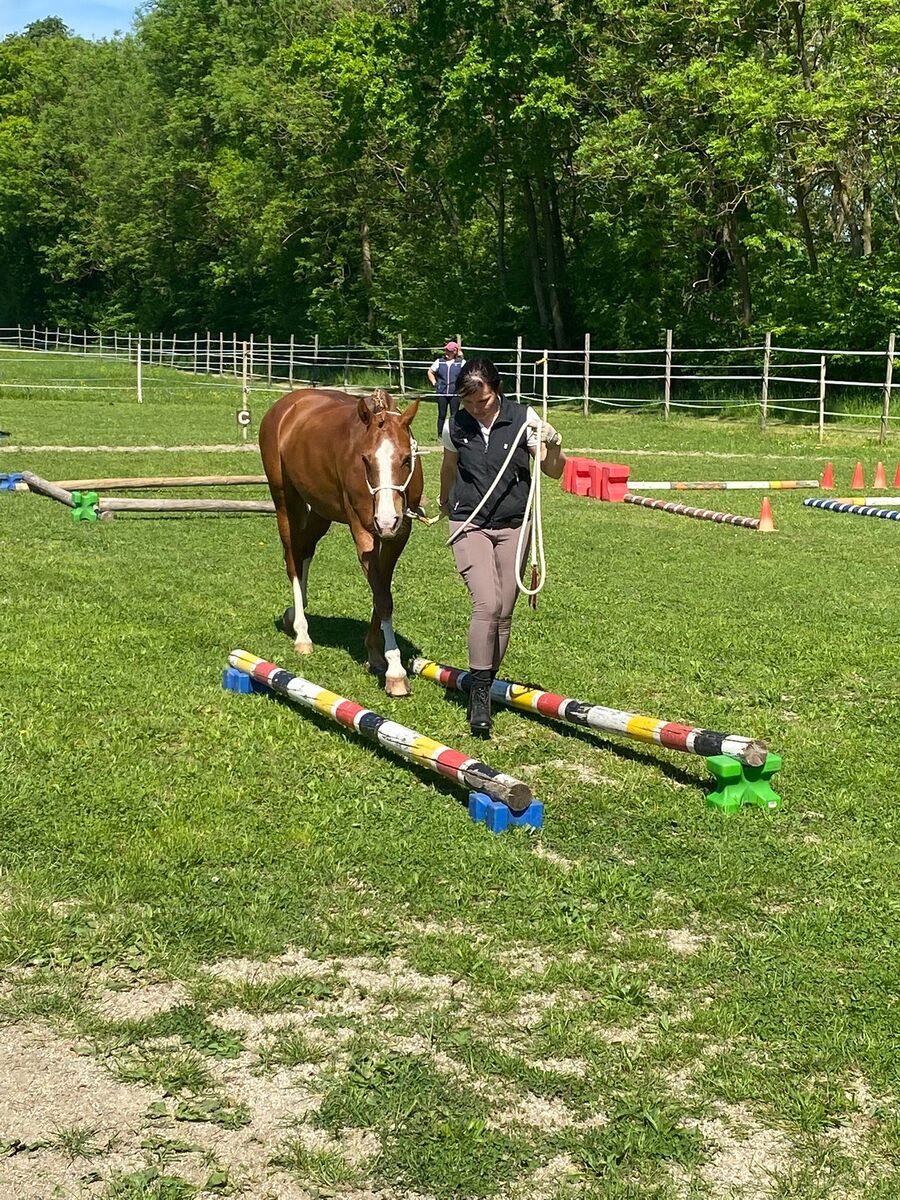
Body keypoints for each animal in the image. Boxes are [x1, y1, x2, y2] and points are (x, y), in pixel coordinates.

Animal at [259, 387, 422, 696]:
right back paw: (302, 633)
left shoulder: (398, 535)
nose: (385, 520)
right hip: (286, 501)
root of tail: (285, 406)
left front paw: (375, 654)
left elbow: (382, 592)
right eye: (366, 459)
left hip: (321, 511)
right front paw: (395, 671)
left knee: (304, 549)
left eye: (407, 458)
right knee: (292, 560)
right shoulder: (363, 531)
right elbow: (382, 597)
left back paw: (294, 615)